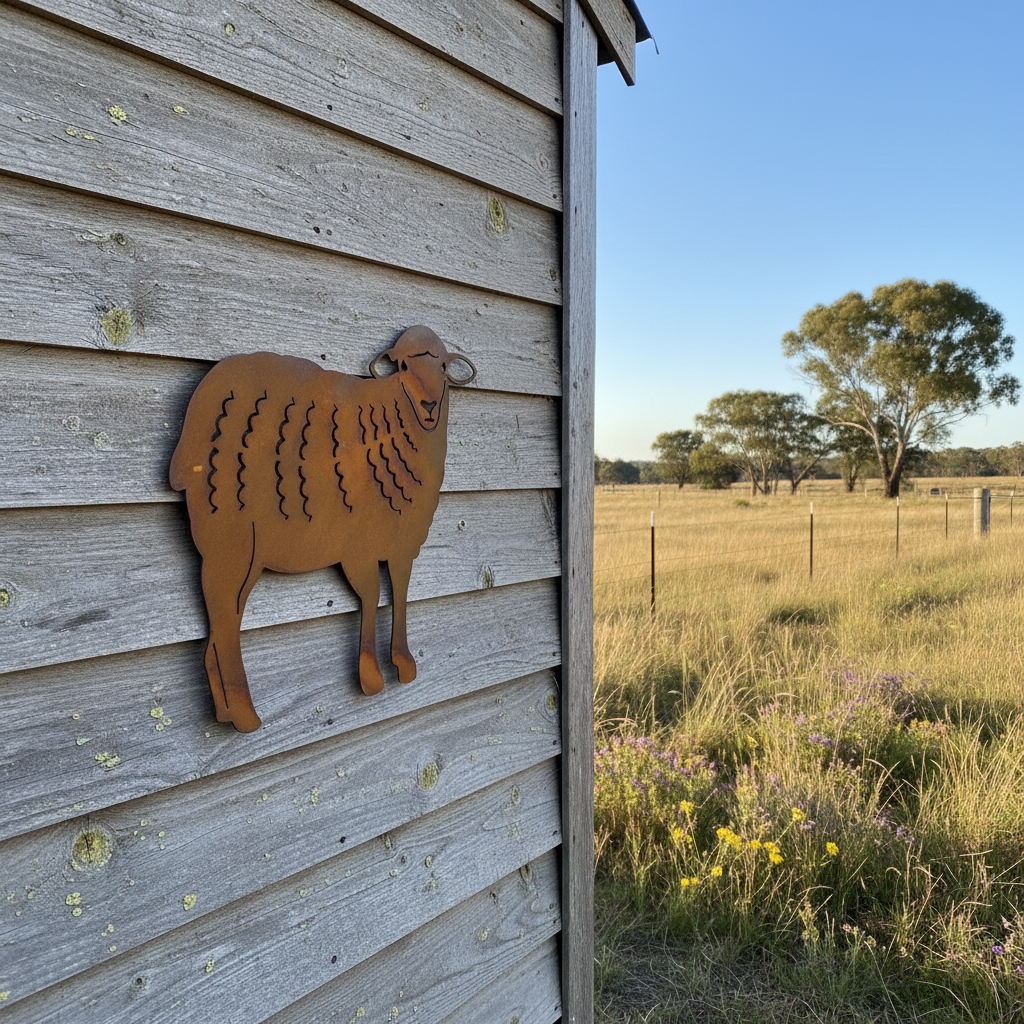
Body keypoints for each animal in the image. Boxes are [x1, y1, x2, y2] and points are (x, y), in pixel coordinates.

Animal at [169, 326, 476, 733]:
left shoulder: (401, 543)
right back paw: (245, 715)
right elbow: (372, 596)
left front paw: (403, 664)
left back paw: (226, 711)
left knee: (222, 622)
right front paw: (371, 676)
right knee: (224, 620)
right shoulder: (358, 546)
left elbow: (400, 592)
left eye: (442, 366)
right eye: (403, 366)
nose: (428, 406)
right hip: (229, 539)